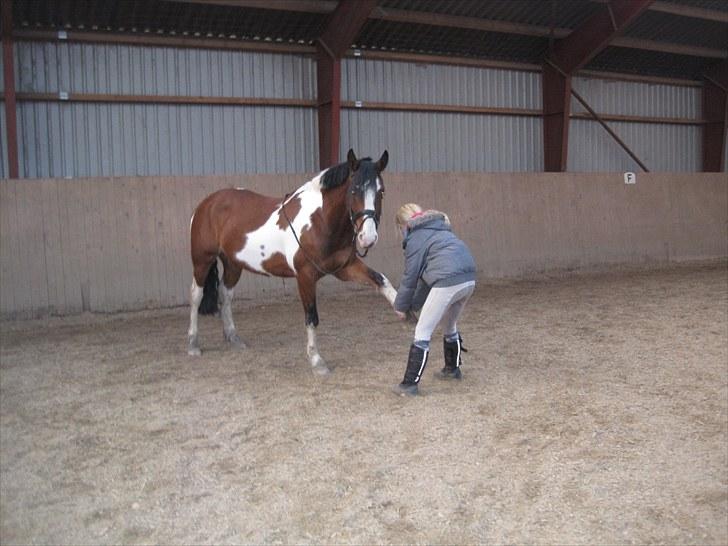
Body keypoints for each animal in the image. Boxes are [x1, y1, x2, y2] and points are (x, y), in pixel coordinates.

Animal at [185, 148, 396, 374]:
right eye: (354, 190)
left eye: (382, 191)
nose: (368, 238)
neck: (319, 221)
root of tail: (207, 203)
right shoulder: (305, 276)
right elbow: (311, 316)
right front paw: (317, 361)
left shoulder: (345, 268)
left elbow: (381, 280)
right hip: (202, 260)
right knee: (196, 295)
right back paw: (193, 343)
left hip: (234, 264)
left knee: (225, 294)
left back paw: (233, 337)